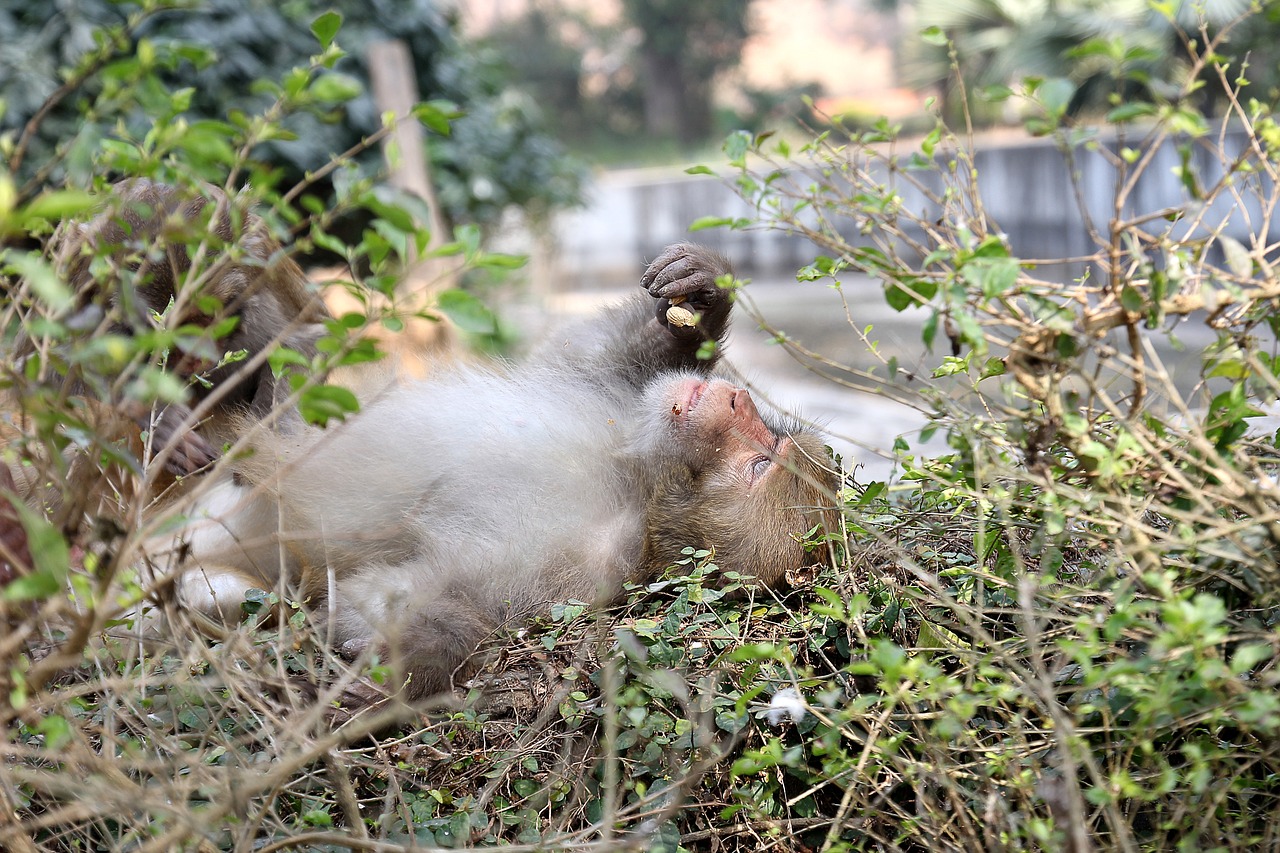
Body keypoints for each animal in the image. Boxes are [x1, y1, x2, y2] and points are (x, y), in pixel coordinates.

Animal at [11, 176, 330, 479]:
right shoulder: (74, 275)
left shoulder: (263, 264)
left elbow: (311, 338)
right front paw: (160, 417)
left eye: (212, 316)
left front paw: (266, 438)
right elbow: (31, 375)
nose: (196, 356)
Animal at [160, 244, 839, 701]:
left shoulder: (576, 570)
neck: (632, 481)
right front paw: (700, 292)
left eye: (759, 462)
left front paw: (403, 666)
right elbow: (596, 358)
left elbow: (437, 594)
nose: (739, 401)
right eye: (769, 441)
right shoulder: (612, 399)